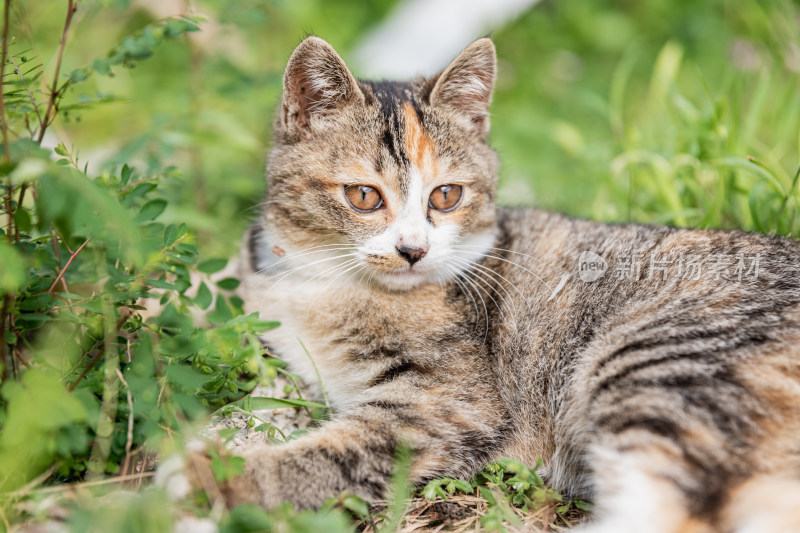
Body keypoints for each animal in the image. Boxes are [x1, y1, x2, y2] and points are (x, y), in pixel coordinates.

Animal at [170, 35, 800, 528]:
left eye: (446, 195)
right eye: (364, 196)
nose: (413, 250)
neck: (325, 277)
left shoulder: (449, 406)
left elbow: (343, 450)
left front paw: (206, 475)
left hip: (660, 358)